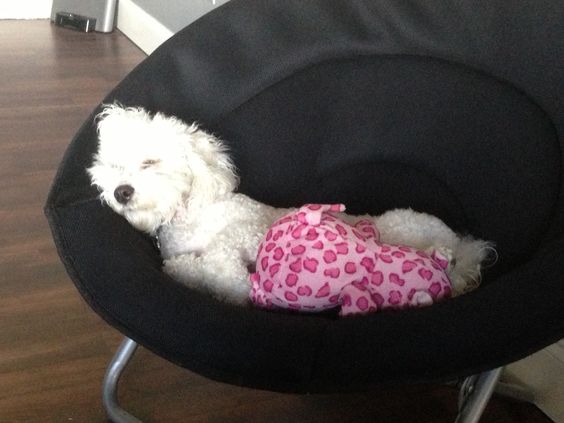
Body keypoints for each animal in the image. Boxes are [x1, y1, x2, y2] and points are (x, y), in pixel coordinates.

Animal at [86, 105, 492, 306]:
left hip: (400, 230)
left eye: (150, 162)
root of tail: (460, 242)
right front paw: (193, 270)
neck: (194, 214)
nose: (121, 191)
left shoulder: (249, 231)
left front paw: (213, 272)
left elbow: (223, 263)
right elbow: (188, 269)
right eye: (113, 164)